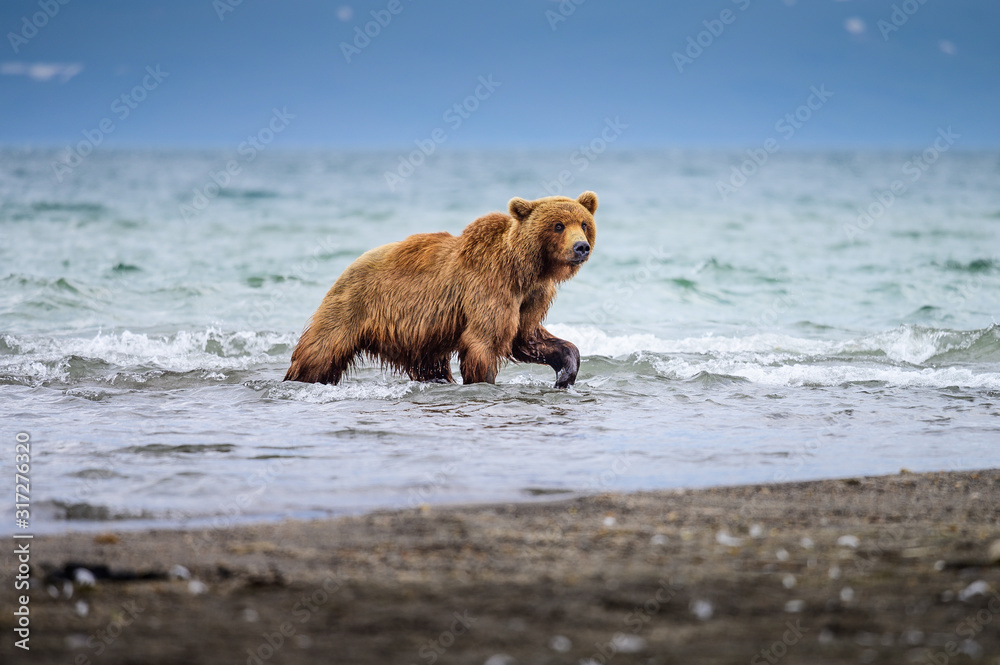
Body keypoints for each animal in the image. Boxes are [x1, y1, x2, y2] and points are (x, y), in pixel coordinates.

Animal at [283, 191, 598, 389]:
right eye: (558, 225)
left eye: (584, 223)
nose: (581, 247)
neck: (524, 269)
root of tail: (351, 264)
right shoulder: (489, 288)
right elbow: (484, 340)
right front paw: (484, 381)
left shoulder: (531, 298)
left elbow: (527, 338)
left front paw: (565, 375)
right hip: (353, 304)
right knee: (320, 351)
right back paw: (300, 378)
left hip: (420, 337)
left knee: (429, 365)